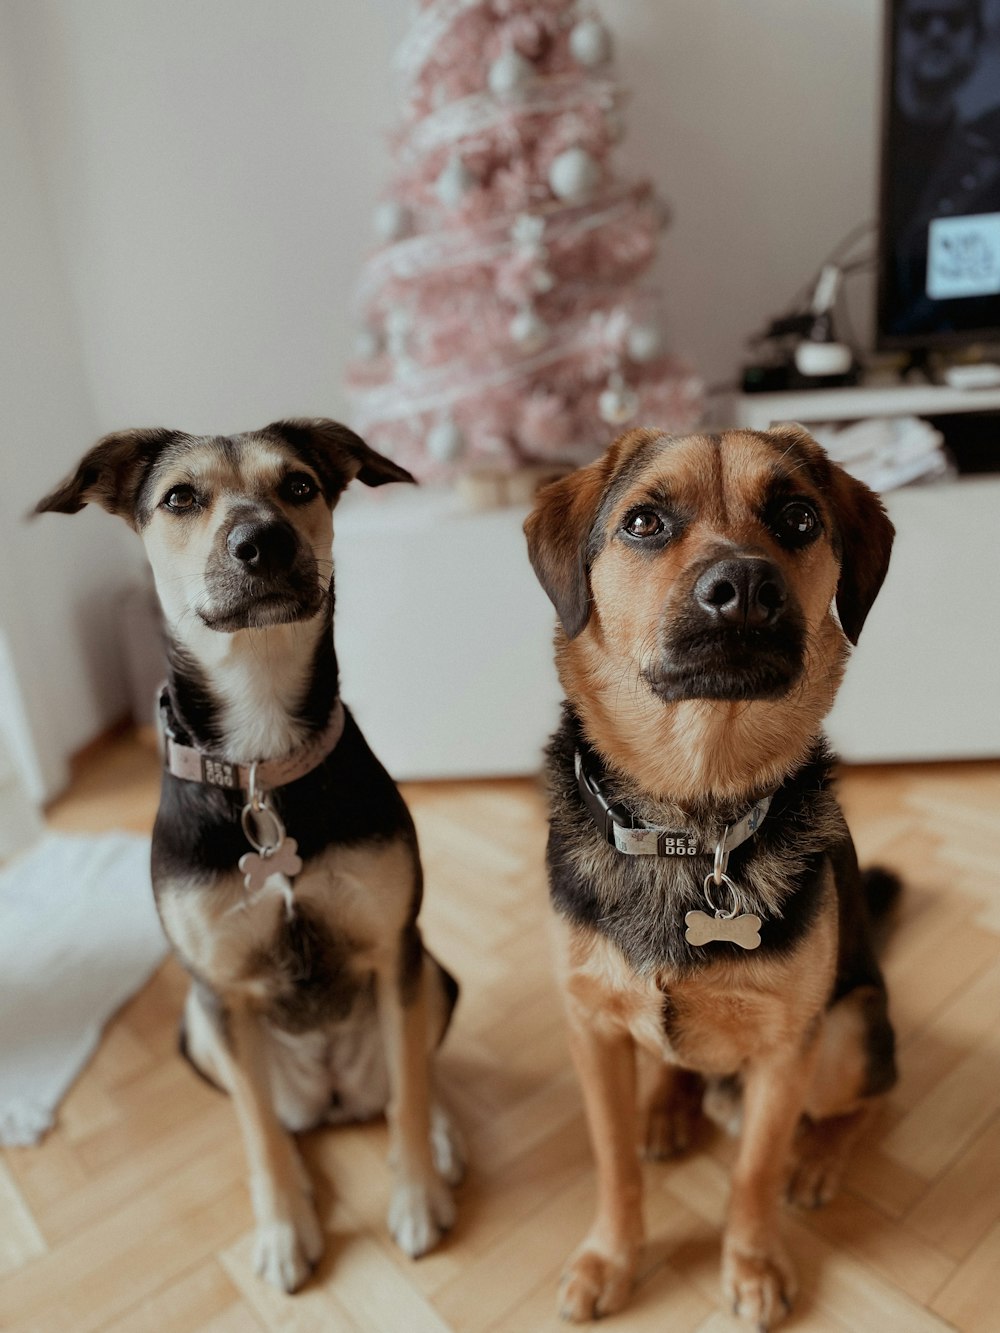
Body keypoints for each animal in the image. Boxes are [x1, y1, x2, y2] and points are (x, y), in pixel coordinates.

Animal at [37, 418, 464, 1290]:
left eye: (299, 485)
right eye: (179, 497)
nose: (261, 541)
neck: (262, 757)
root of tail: (332, 1091)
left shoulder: (394, 945)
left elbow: (409, 1086)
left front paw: (416, 1192)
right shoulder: (220, 990)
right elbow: (257, 1129)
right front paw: (282, 1230)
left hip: (431, 971)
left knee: (411, 1069)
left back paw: (438, 1135)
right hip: (198, 1031)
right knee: (278, 1116)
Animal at [525, 423, 901, 1322]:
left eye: (798, 519)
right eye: (644, 522)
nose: (745, 588)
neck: (692, 821)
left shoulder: (789, 1047)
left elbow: (754, 1171)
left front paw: (754, 1261)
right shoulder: (591, 1028)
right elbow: (613, 1161)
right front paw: (612, 1255)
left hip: (849, 1029)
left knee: (869, 1098)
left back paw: (819, 1156)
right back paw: (668, 1106)